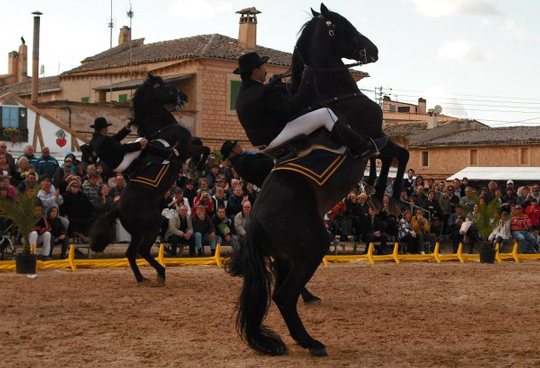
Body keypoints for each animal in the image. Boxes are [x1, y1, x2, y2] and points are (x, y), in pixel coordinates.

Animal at [92, 73, 210, 284]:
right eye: (161, 85)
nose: (183, 96)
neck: (162, 127)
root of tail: (118, 208)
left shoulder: (189, 143)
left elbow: (201, 142)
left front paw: (198, 165)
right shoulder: (185, 148)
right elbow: (205, 147)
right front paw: (200, 165)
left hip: (138, 232)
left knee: (132, 253)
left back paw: (142, 278)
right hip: (152, 226)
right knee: (142, 251)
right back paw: (160, 273)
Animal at [230, 4, 408, 358]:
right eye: (342, 26)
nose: (373, 50)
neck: (337, 95)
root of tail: (254, 221)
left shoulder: (377, 140)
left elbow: (390, 158)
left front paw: (376, 191)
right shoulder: (375, 136)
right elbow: (397, 155)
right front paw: (386, 196)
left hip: (289, 257)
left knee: (283, 288)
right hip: (312, 248)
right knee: (283, 296)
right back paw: (310, 342)